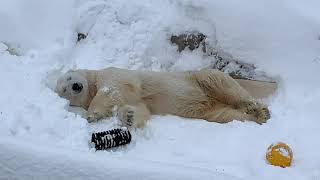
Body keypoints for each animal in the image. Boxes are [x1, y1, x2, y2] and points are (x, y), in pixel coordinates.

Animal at [55, 67, 276, 128]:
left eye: (69, 78)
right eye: (64, 89)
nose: (76, 86)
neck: (91, 80)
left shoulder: (111, 74)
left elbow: (112, 89)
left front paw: (92, 114)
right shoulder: (137, 100)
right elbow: (140, 108)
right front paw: (128, 116)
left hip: (199, 79)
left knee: (219, 82)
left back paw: (257, 108)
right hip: (210, 110)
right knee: (225, 115)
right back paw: (257, 116)